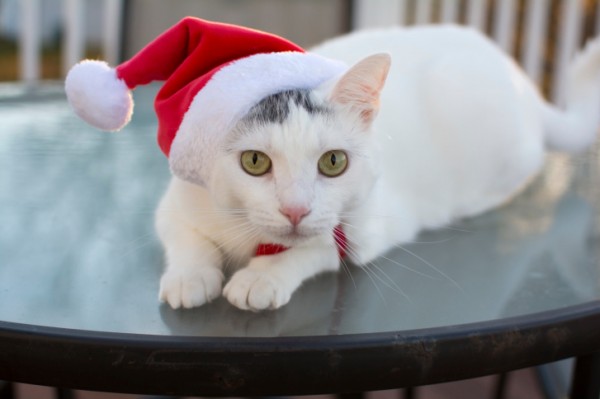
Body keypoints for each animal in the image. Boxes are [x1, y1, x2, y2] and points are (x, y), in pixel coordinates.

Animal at [156, 25, 600, 312]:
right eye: (254, 161)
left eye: (333, 162)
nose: (296, 210)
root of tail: (522, 80)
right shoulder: (176, 197)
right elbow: (187, 235)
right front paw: (190, 276)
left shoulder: (366, 227)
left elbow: (315, 247)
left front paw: (263, 276)